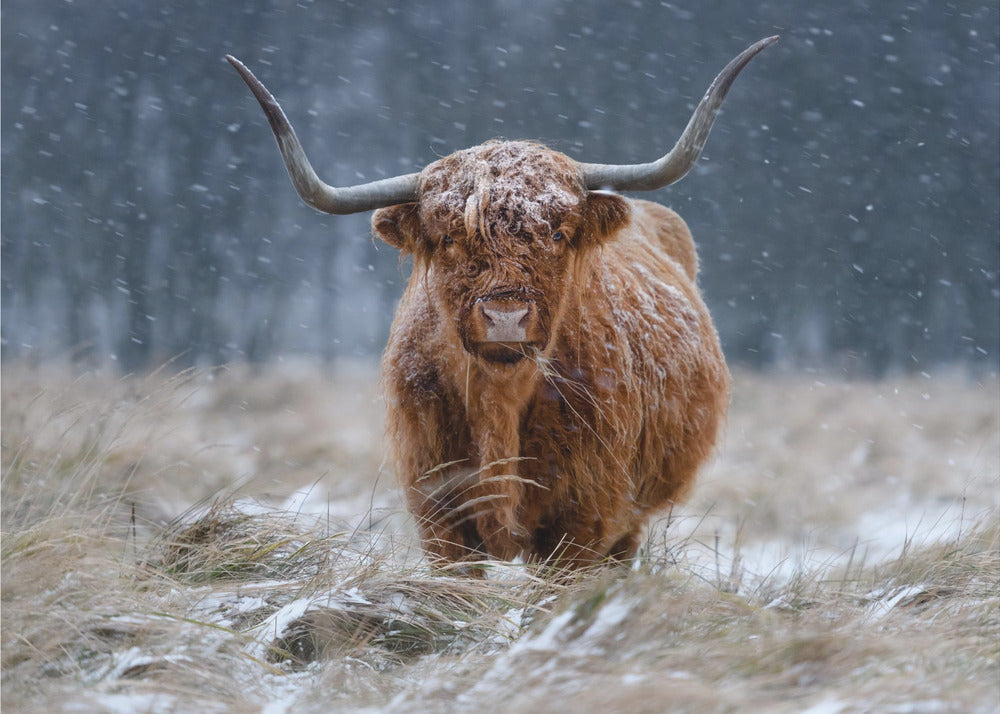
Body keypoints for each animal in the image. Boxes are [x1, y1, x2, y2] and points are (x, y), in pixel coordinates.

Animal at [230, 37, 776, 568]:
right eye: (449, 238)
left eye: (557, 234)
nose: (505, 318)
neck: (500, 403)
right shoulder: (439, 514)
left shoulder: (584, 518)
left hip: (630, 518)